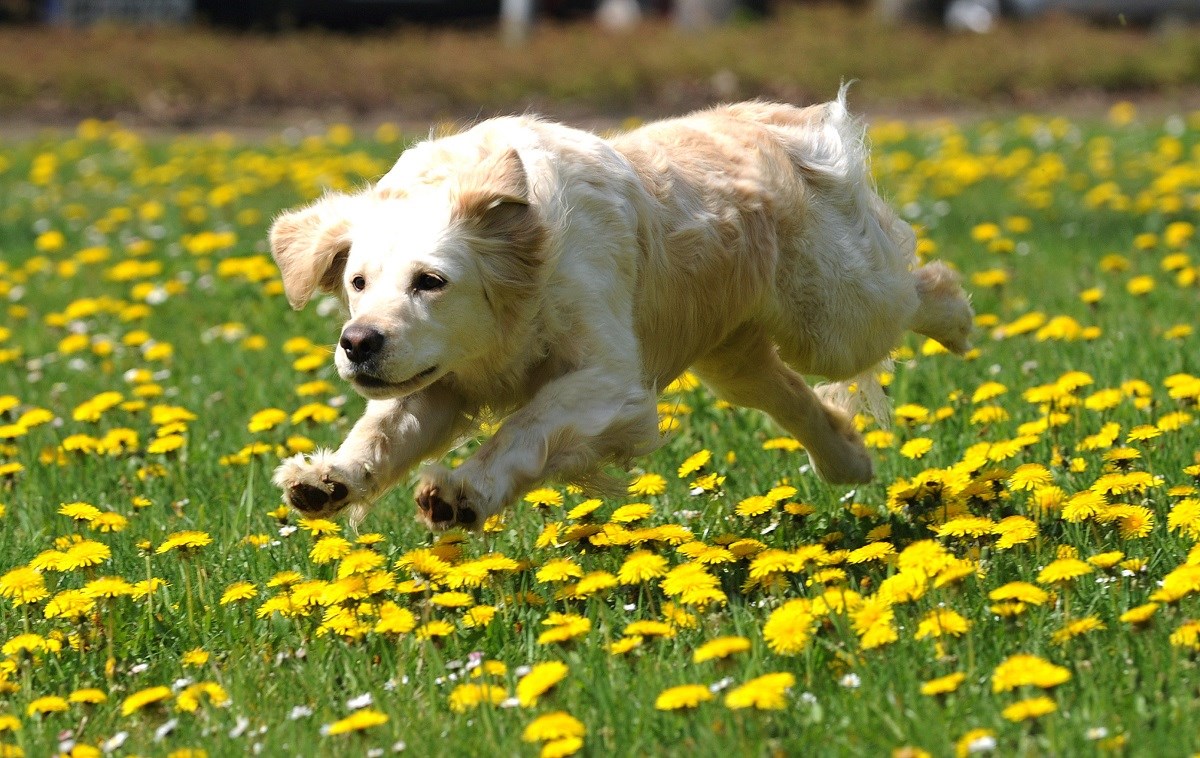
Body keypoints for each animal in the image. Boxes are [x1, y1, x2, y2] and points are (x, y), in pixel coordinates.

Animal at [267, 91, 969, 530]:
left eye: (431, 282)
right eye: (357, 282)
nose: (357, 343)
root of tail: (778, 119)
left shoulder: (609, 380)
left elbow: (525, 427)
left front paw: (463, 493)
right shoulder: (443, 382)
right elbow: (381, 430)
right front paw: (327, 478)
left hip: (831, 318)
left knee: (914, 289)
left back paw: (959, 319)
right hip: (734, 359)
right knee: (794, 396)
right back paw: (849, 459)